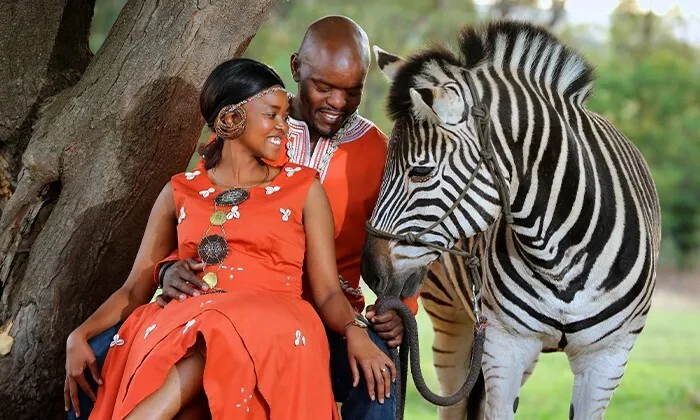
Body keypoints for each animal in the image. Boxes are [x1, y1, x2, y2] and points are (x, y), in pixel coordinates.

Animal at [362, 21, 661, 420]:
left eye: (421, 172)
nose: (370, 272)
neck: (559, 254)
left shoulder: (608, 357)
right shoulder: (505, 344)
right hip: (452, 321)